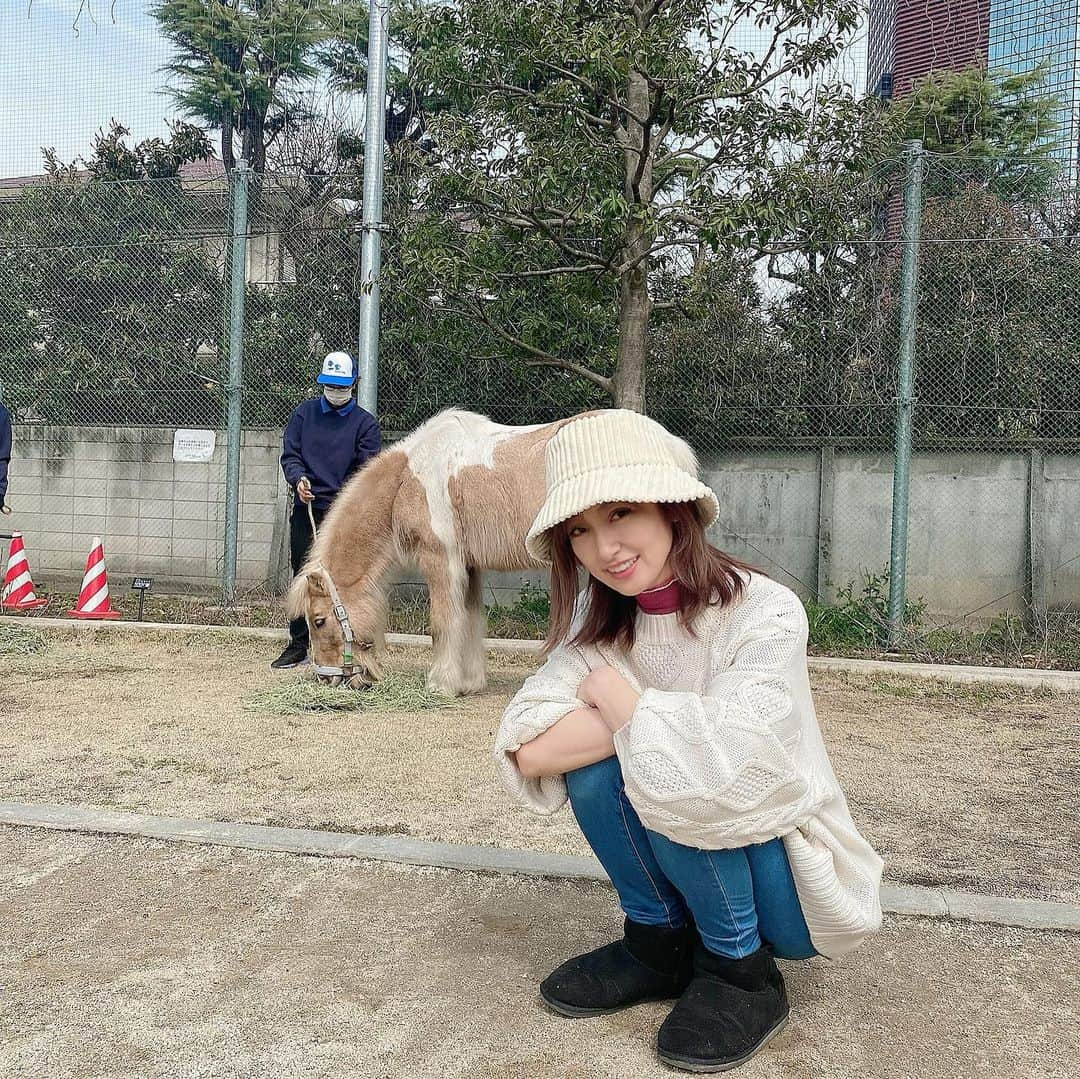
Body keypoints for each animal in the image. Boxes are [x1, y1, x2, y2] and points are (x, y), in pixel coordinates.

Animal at [285, 408, 591, 695]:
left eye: (319, 621)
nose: (326, 677)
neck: (408, 481)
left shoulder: (441, 559)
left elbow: (443, 622)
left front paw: (440, 684)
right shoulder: (468, 565)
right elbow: (471, 620)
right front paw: (469, 683)